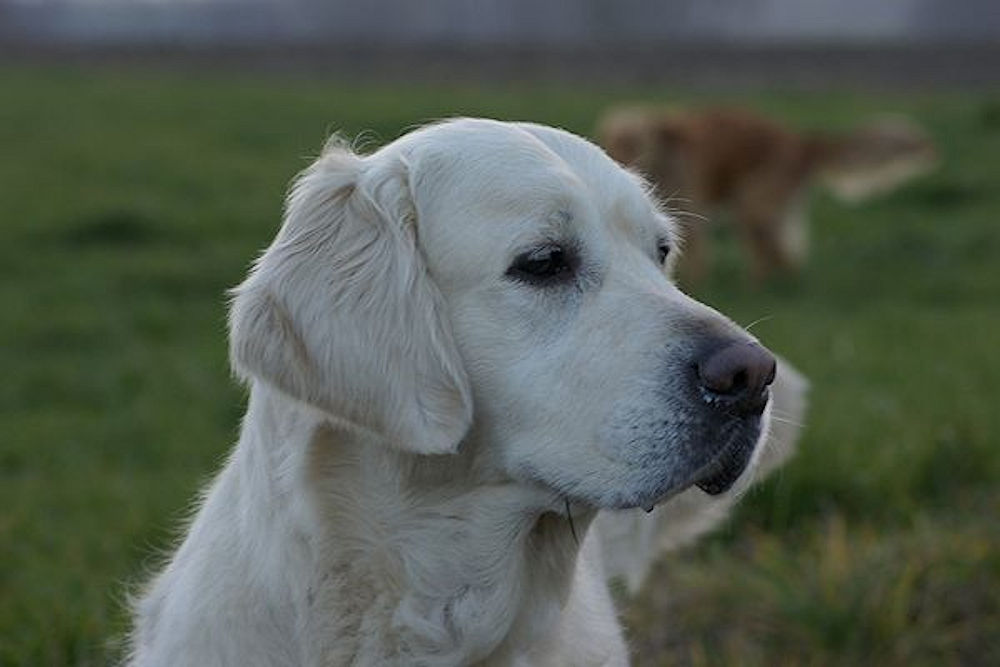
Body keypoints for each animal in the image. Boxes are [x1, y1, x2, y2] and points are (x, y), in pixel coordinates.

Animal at [597, 106, 936, 284]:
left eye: (637, 141)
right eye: (614, 140)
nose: (619, 162)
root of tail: (803, 141)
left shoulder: (688, 221)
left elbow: (695, 260)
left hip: (753, 211)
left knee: (775, 256)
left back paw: (757, 287)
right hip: (766, 213)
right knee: (787, 255)